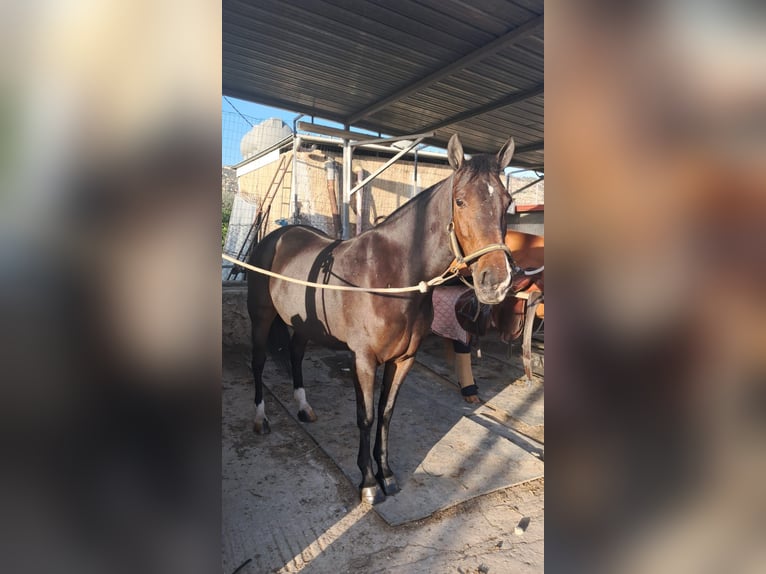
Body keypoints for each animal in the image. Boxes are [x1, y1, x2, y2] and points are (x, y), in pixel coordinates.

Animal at [249, 134, 520, 504]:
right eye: (460, 201)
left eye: (507, 202)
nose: (496, 281)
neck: (392, 277)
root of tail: (277, 237)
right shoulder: (363, 360)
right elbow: (365, 416)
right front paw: (367, 482)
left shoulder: (404, 359)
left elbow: (386, 413)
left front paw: (386, 474)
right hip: (261, 319)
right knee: (259, 362)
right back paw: (260, 419)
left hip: (303, 324)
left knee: (295, 355)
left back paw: (304, 408)